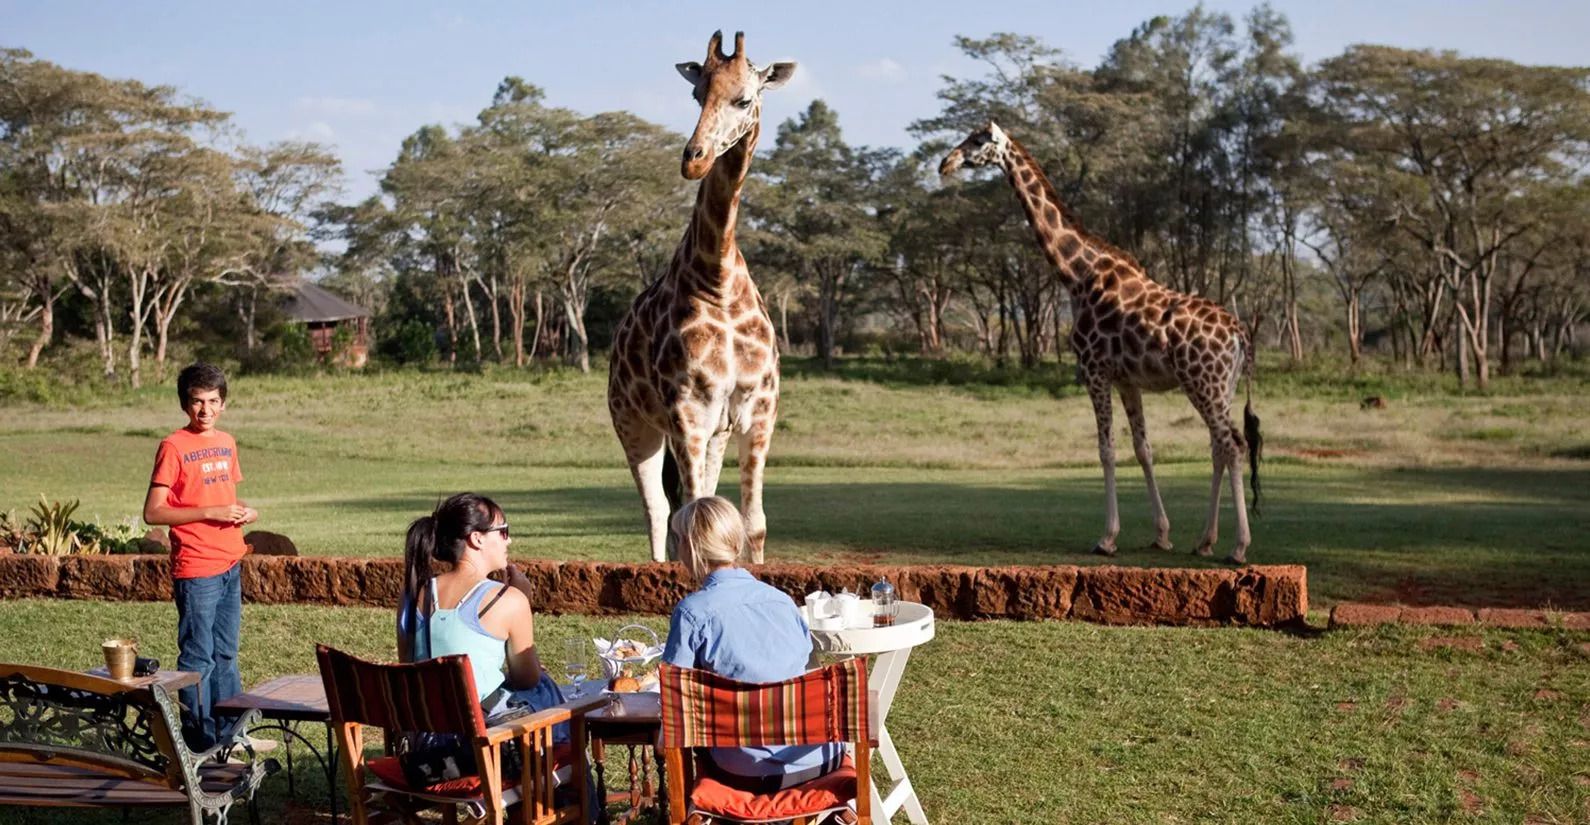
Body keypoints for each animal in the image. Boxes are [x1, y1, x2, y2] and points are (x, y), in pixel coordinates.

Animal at [607, 31, 795, 563]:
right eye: (697, 94)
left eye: (744, 99)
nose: (694, 158)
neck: (719, 279)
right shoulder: (686, 408)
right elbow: (689, 514)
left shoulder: (758, 409)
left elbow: (752, 523)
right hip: (634, 423)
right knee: (657, 511)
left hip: (715, 431)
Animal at [940, 122, 1263, 564]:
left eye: (977, 141)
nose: (945, 163)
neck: (1077, 274)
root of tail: (1238, 333)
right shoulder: (1127, 379)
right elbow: (1143, 449)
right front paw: (1161, 534)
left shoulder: (1094, 370)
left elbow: (1106, 448)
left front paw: (1107, 538)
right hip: (1220, 387)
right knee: (1218, 446)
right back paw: (1204, 541)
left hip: (1203, 383)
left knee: (1232, 444)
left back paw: (1239, 546)